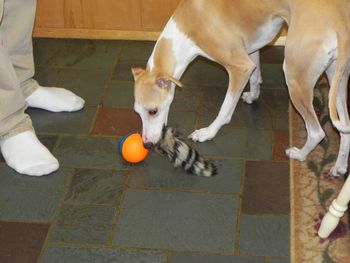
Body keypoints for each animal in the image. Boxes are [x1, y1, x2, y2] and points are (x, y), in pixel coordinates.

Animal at [131, 0, 350, 177]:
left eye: (153, 111)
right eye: (137, 112)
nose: (146, 144)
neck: (187, 26)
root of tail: (340, 23)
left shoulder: (239, 67)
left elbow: (225, 111)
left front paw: (207, 133)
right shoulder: (250, 53)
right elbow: (255, 77)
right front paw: (253, 96)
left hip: (295, 79)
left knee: (317, 133)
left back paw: (298, 154)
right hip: (336, 82)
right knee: (345, 129)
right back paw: (339, 168)